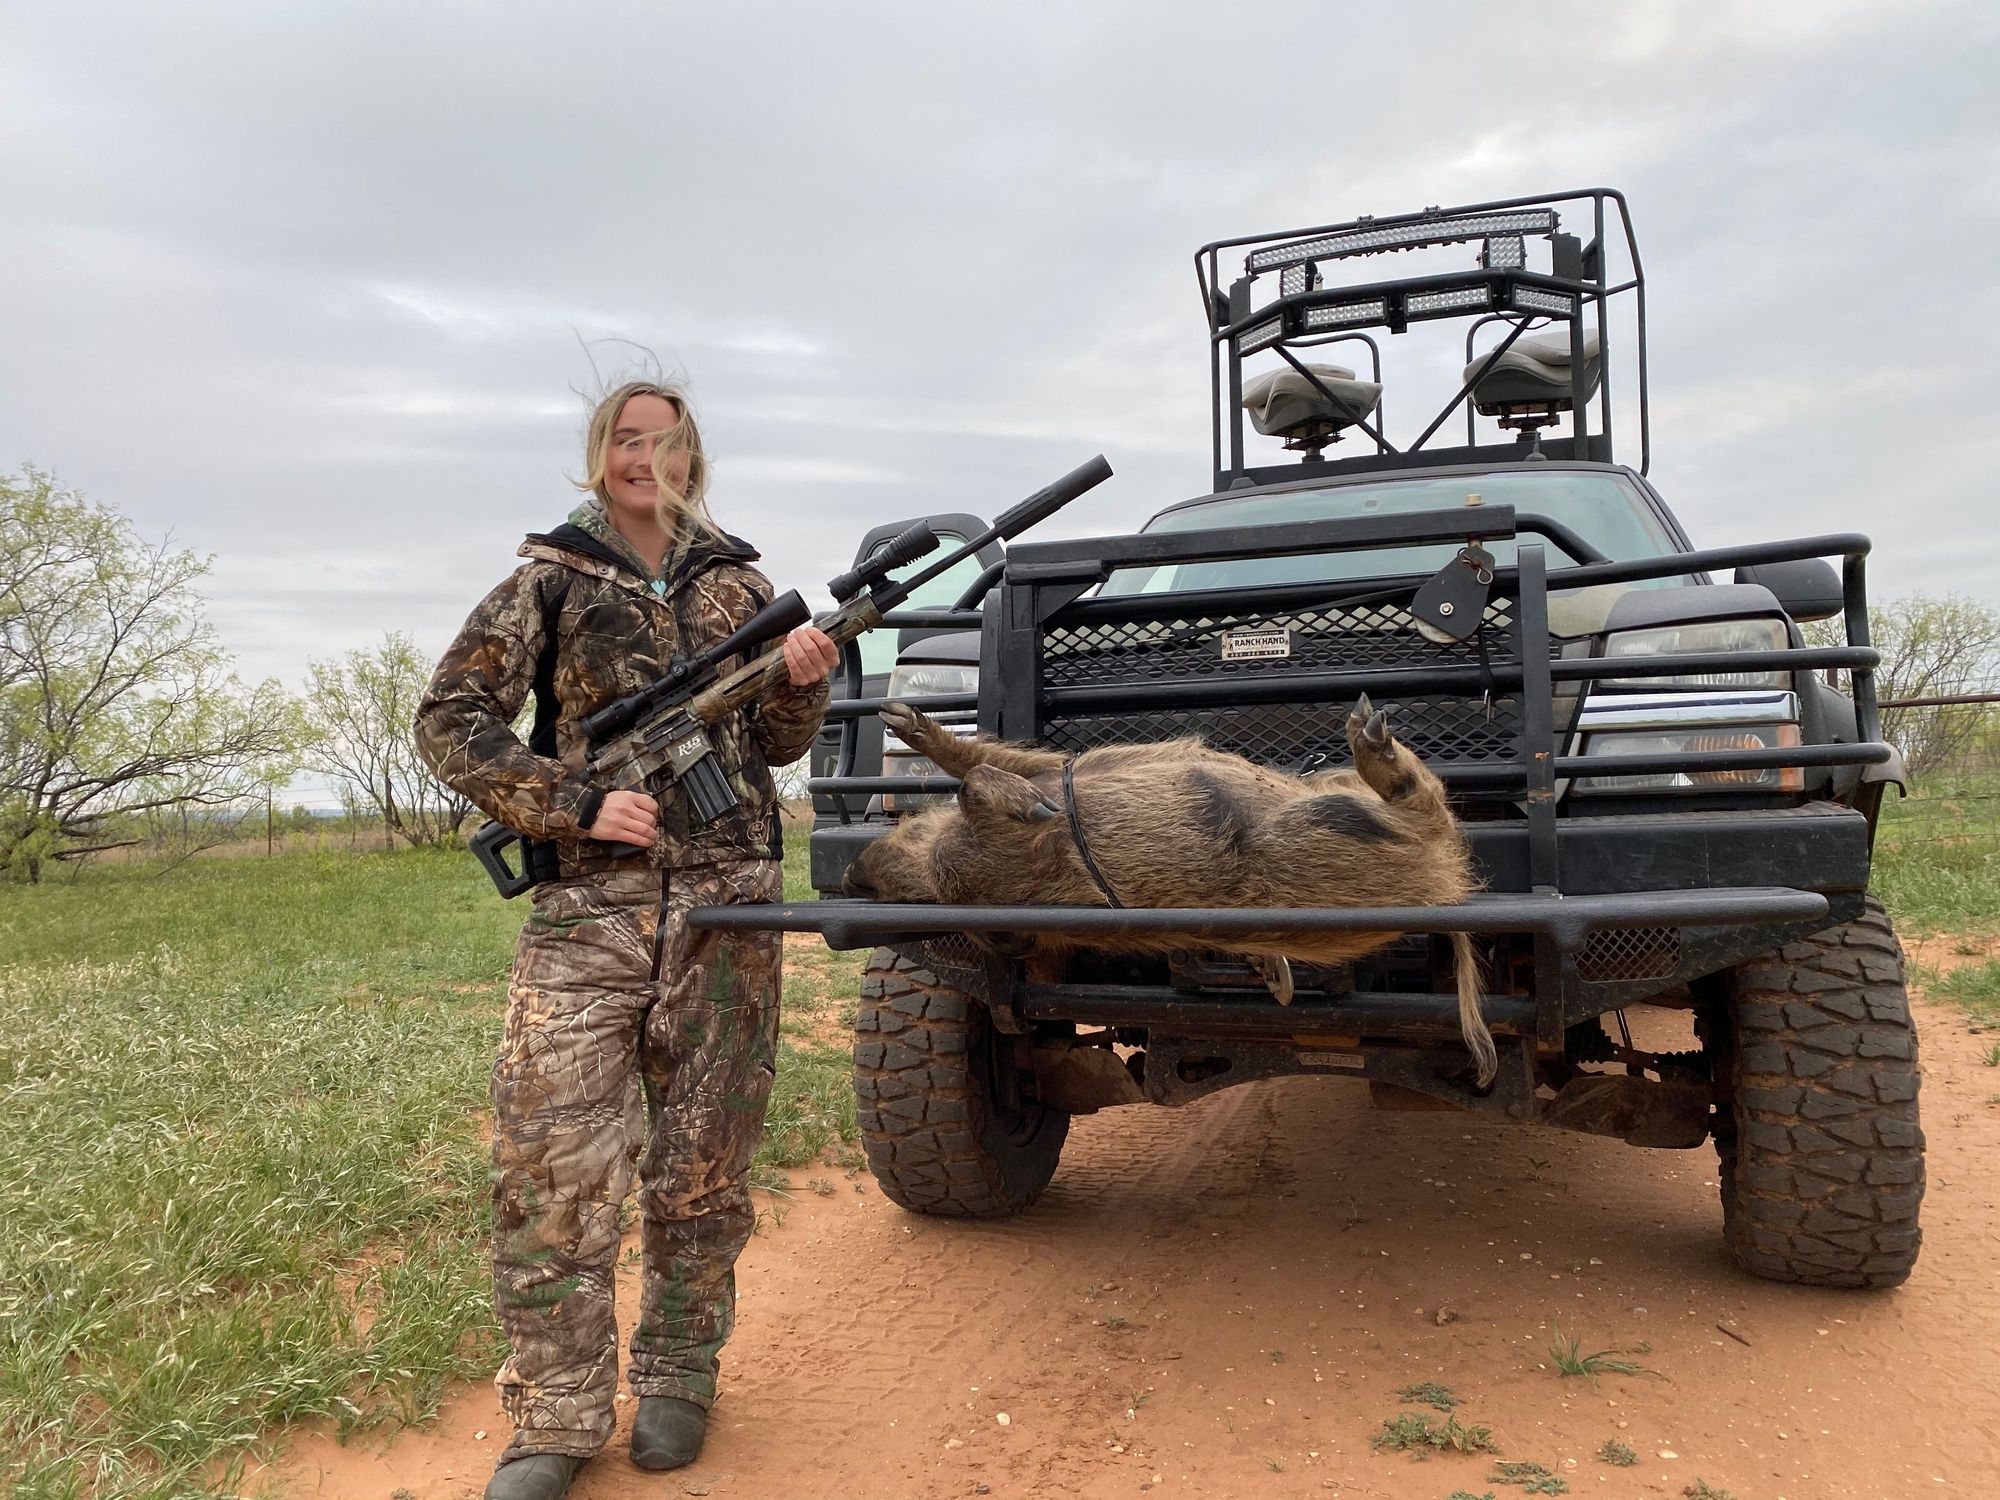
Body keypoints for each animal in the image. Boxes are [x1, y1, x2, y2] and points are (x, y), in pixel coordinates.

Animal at [843, 695, 1496, 1087]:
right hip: (1325, 835)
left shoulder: (1062, 767)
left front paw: (901, 719)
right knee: (1428, 808)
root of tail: (1446, 889)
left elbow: (987, 760)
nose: (854, 874)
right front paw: (1035, 809)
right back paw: (1370, 736)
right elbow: (980, 783)